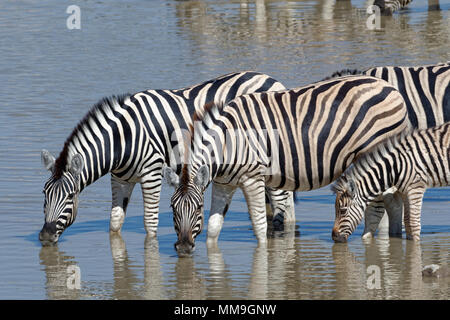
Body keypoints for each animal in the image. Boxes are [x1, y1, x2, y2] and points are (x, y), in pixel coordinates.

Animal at [39, 70, 292, 245]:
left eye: (70, 196)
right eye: (44, 194)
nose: (46, 236)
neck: (123, 137)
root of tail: (272, 79)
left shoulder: (152, 173)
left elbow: (150, 223)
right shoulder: (120, 178)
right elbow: (115, 222)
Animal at [165, 75, 412, 255]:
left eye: (198, 207)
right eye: (172, 208)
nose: (184, 247)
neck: (227, 144)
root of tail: (391, 88)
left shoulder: (253, 178)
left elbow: (259, 225)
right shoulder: (223, 183)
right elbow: (214, 228)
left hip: (374, 153)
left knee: (380, 202)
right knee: (392, 201)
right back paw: (392, 237)